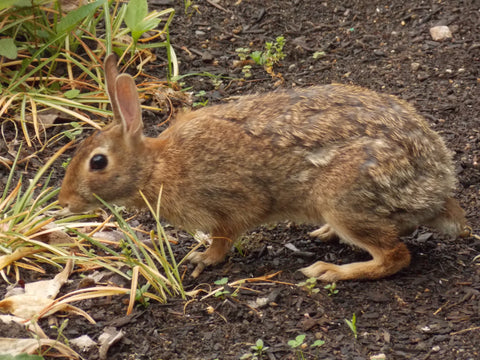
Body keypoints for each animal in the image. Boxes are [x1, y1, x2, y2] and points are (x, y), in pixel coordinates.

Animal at [58, 54, 466, 282]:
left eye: (98, 162)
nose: (65, 202)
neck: (156, 166)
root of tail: (438, 188)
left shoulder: (232, 204)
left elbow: (224, 237)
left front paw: (202, 259)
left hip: (345, 198)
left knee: (395, 255)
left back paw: (328, 271)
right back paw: (325, 235)